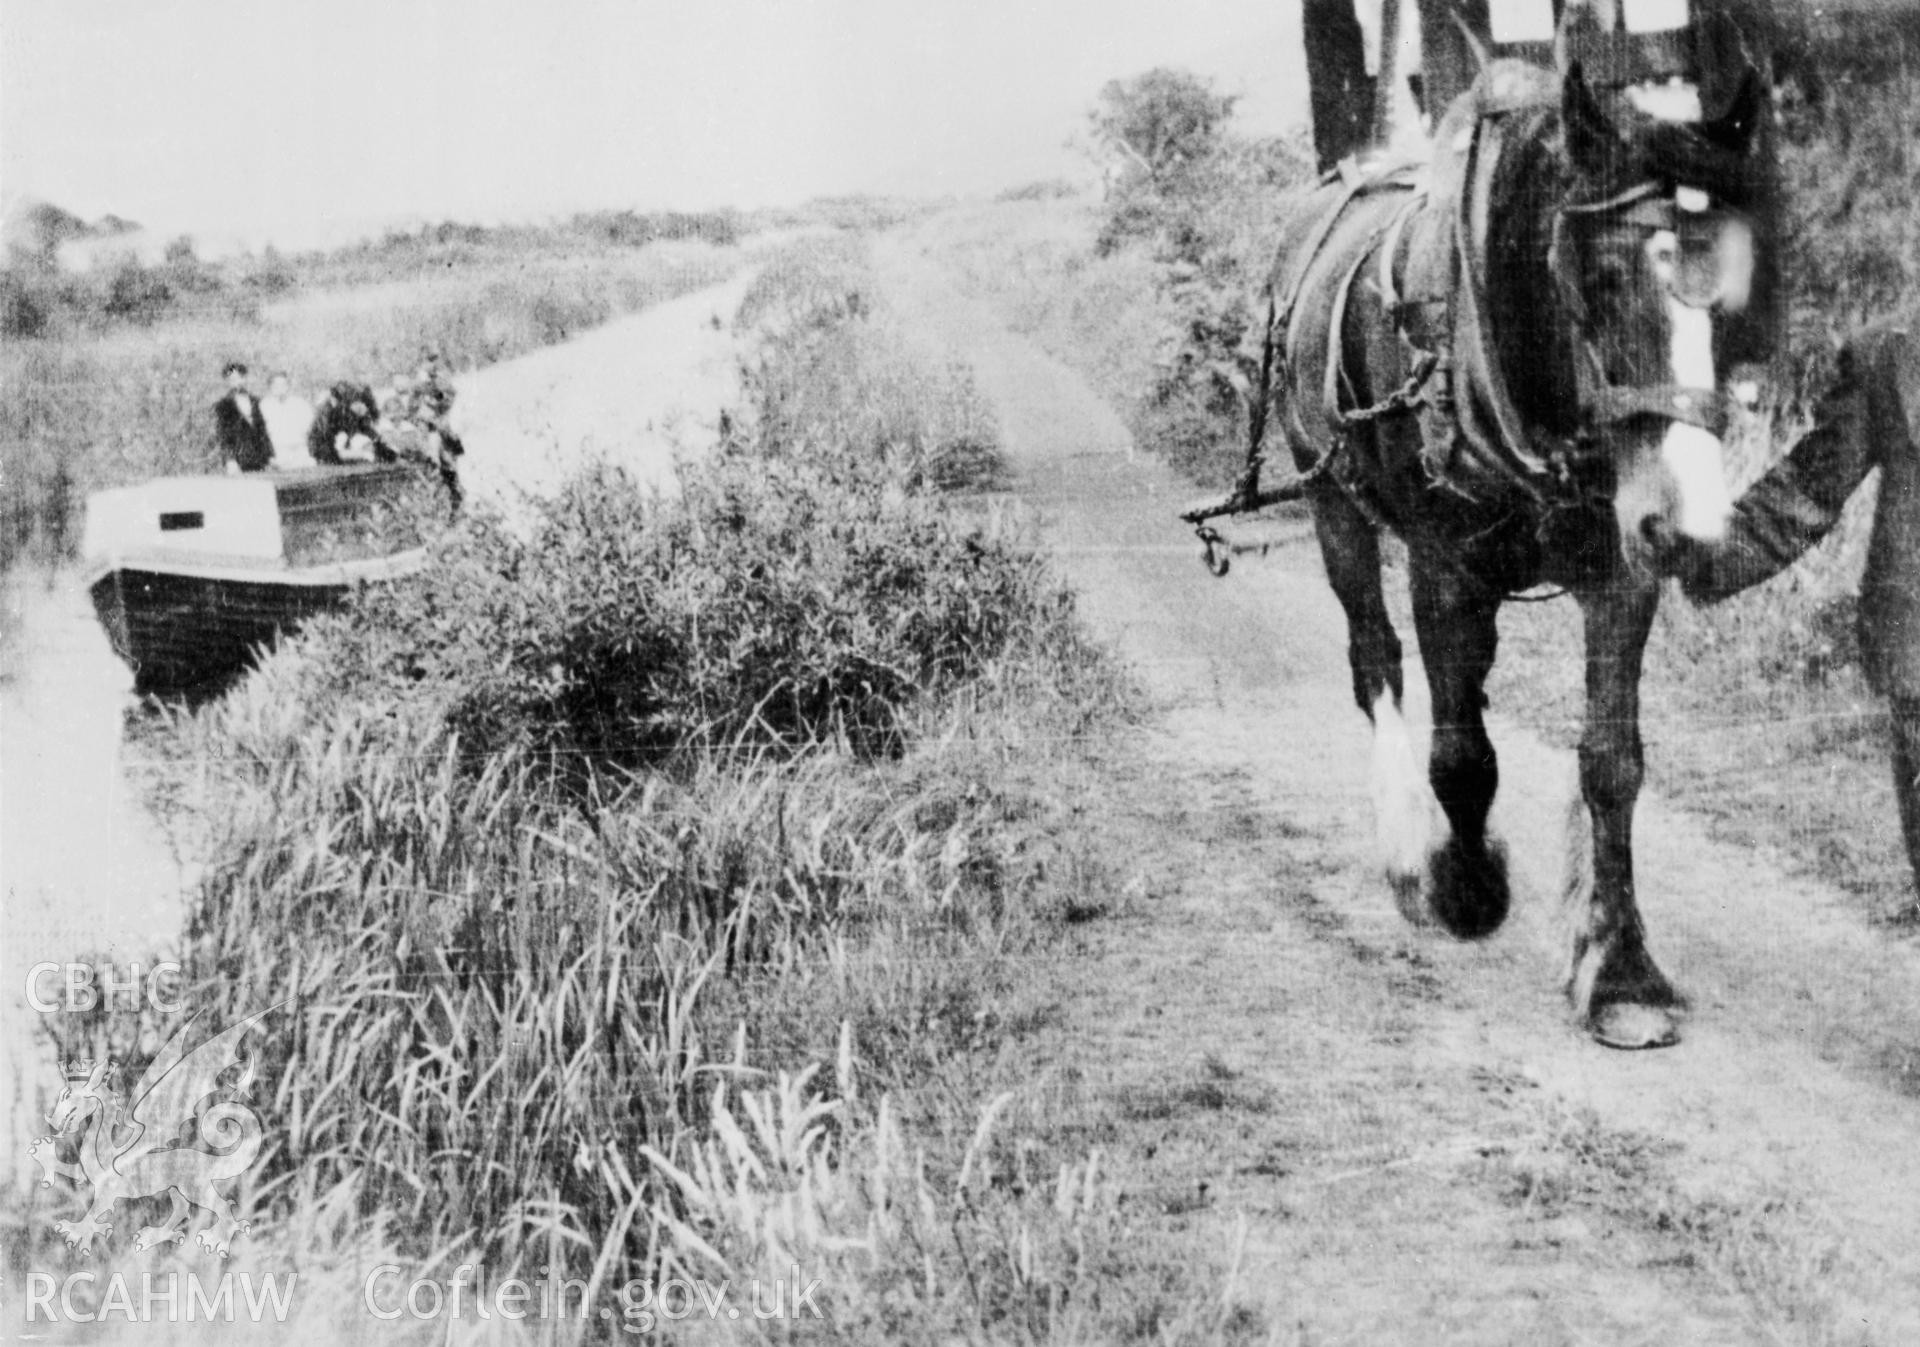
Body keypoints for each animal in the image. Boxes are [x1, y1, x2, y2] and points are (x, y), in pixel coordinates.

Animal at [1251, 58, 1774, 1059]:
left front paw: (1621, 971)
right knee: (1376, 659)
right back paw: (1410, 849)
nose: (1687, 527)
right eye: (1600, 275)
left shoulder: (1622, 572)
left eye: (1730, 281)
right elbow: (1462, 752)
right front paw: (1465, 885)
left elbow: (1612, 763)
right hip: (1332, 497)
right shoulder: (1442, 565)